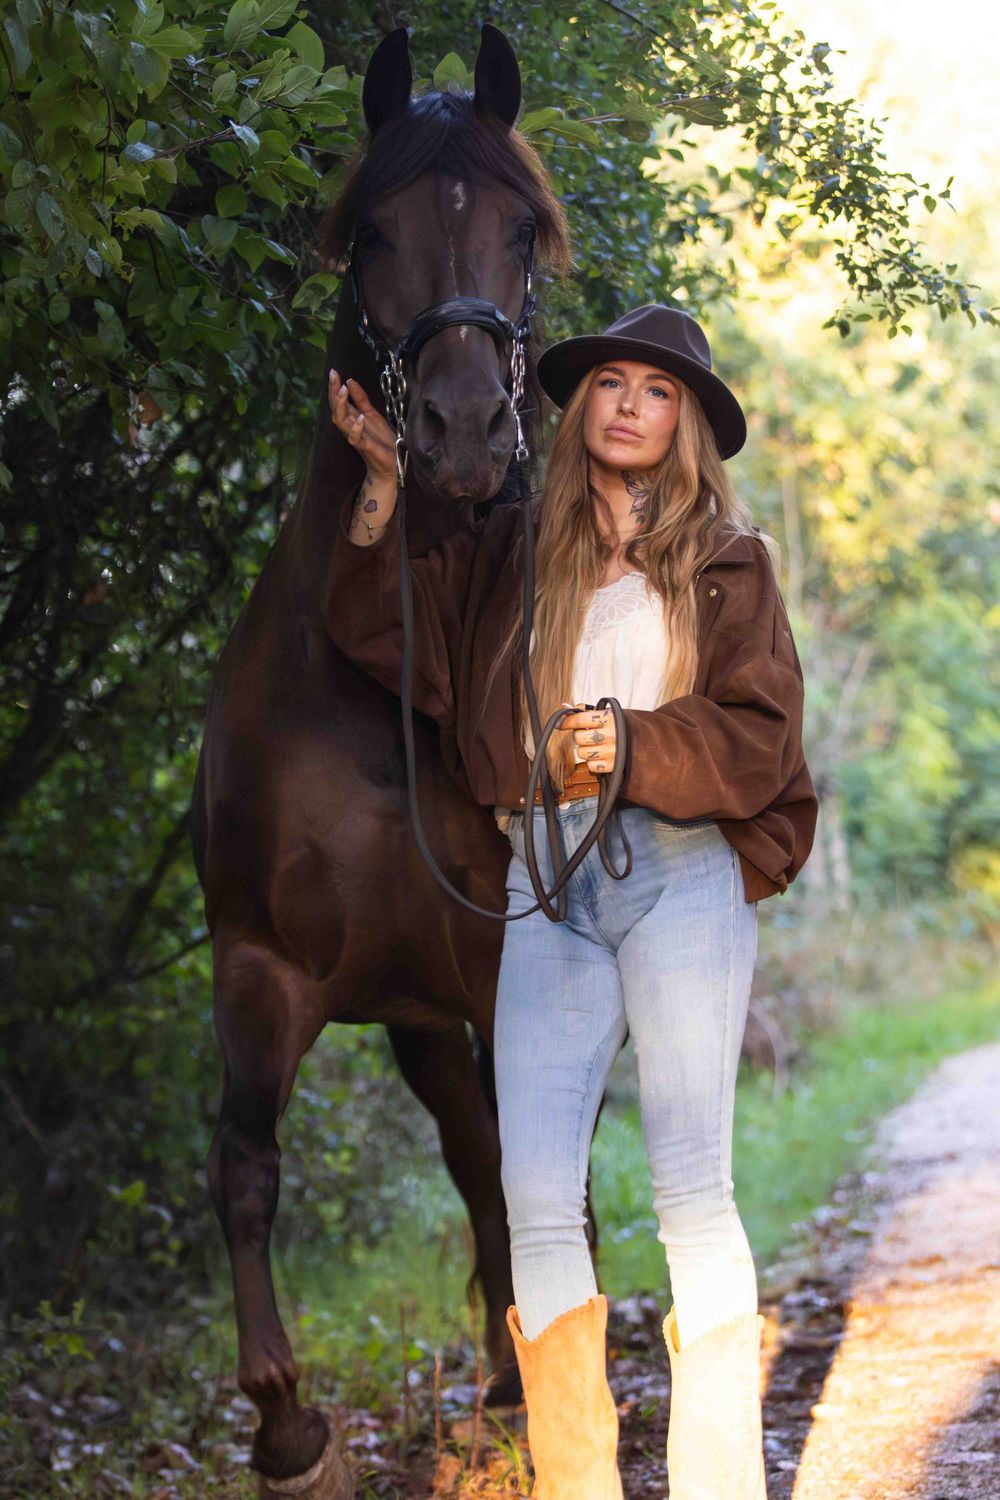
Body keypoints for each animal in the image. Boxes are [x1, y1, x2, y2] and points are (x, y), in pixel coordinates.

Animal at [190, 24, 571, 1493]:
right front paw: (283, 1420)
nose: (462, 432)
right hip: (412, 1020)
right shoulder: (263, 967)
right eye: (373, 235)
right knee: (473, 1154)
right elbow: (245, 1164)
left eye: (520, 230)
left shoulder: (497, 969)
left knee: (507, 1160)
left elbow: (532, 1167)